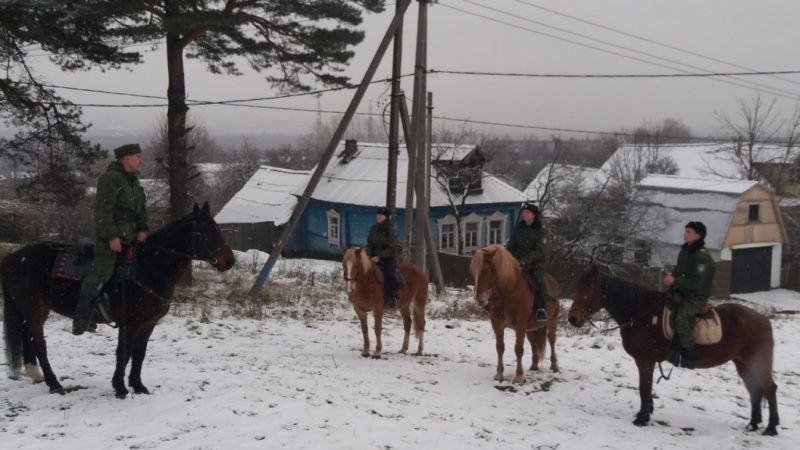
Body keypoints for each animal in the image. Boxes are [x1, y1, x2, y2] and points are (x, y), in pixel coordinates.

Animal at [1, 203, 234, 398]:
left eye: (217, 230)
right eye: (203, 233)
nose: (229, 261)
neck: (146, 266)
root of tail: (13, 257)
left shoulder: (148, 323)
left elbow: (139, 353)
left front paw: (138, 385)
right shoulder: (128, 322)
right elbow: (124, 352)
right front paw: (120, 387)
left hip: (39, 309)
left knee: (28, 336)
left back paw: (35, 374)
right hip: (33, 308)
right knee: (39, 343)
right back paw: (54, 384)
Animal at [466, 246, 560, 384]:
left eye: (489, 271)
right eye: (475, 272)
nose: (479, 299)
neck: (508, 292)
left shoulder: (520, 324)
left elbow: (519, 349)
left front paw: (519, 377)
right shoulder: (497, 324)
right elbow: (500, 347)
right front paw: (499, 374)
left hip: (552, 322)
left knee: (552, 340)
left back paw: (554, 366)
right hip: (530, 329)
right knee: (533, 343)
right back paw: (534, 365)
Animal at [568, 266, 780, 434]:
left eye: (588, 290)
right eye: (577, 287)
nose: (572, 318)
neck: (641, 313)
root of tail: (763, 320)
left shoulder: (645, 360)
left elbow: (644, 388)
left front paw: (642, 419)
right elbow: (647, 388)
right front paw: (646, 413)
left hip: (756, 363)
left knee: (769, 388)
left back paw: (771, 428)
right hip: (742, 363)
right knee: (754, 390)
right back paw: (753, 424)